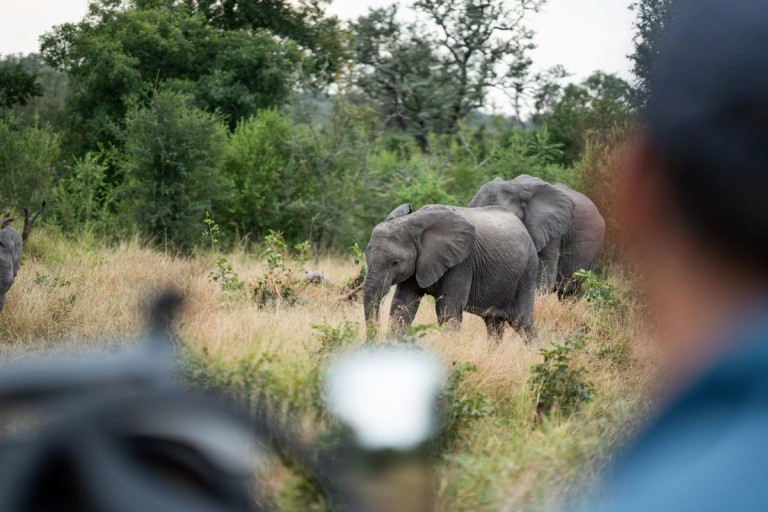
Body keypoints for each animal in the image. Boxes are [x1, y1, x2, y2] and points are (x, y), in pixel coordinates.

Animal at [362, 203, 539, 341]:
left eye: (395, 263)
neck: (414, 221)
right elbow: (402, 306)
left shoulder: (461, 263)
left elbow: (448, 310)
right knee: (493, 324)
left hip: (527, 272)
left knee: (522, 323)